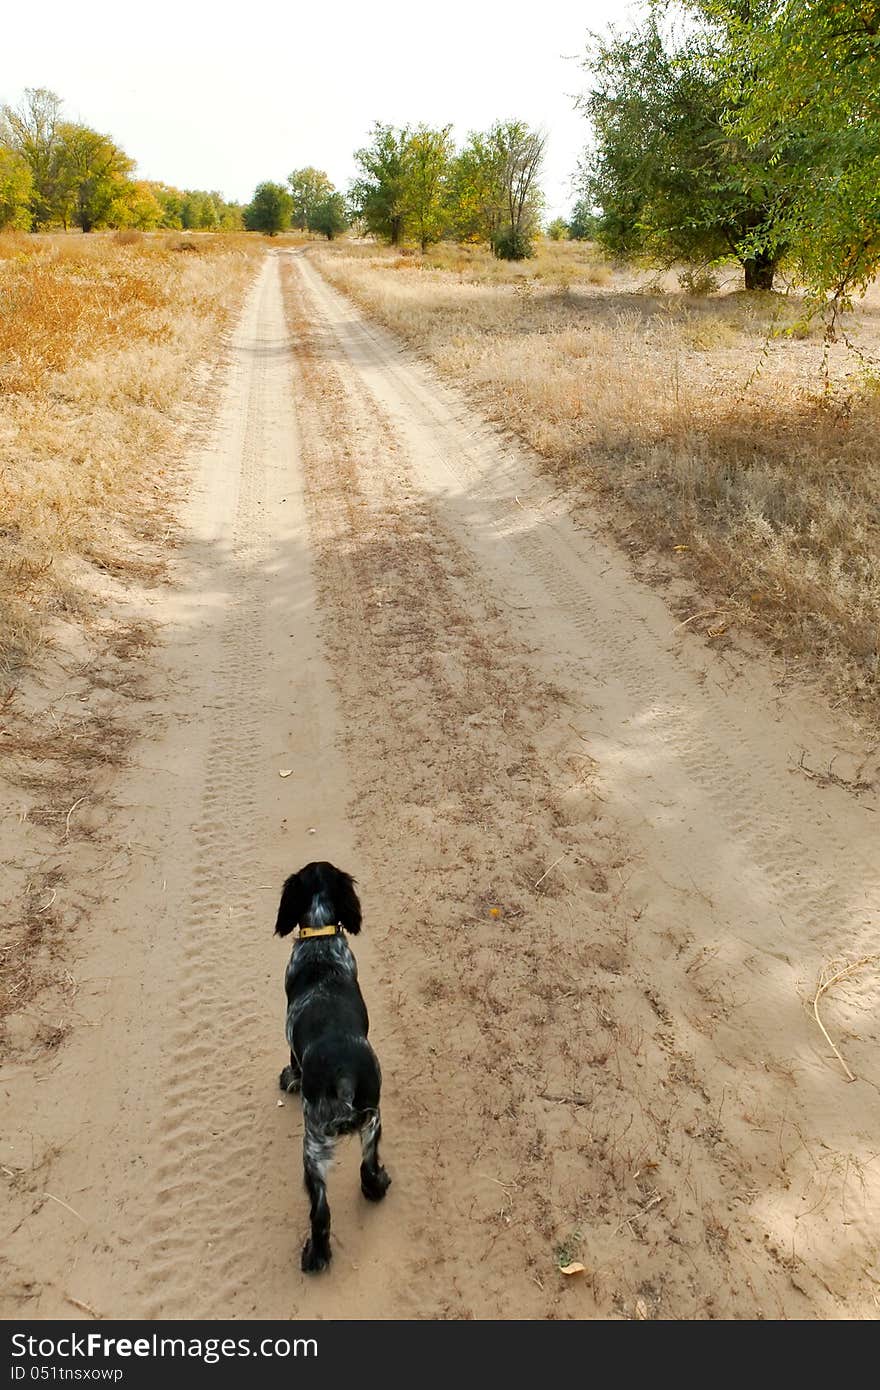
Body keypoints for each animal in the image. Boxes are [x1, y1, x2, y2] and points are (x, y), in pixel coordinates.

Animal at [271, 861, 386, 1273]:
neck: (320, 940)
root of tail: (344, 1078)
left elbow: (292, 1063)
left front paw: (288, 1078)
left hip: (313, 1146)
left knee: (320, 1212)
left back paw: (315, 1257)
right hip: (373, 1120)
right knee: (367, 1166)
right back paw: (379, 1187)